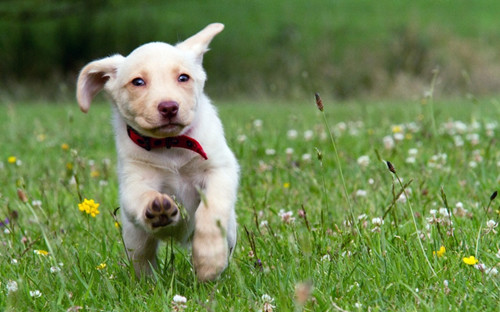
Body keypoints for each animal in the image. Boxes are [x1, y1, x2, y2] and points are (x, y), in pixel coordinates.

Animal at [75, 22, 239, 280]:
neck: (170, 145)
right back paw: (148, 283)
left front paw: (208, 262)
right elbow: (142, 195)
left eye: (183, 77)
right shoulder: (134, 180)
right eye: (138, 82)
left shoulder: (219, 170)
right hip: (135, 237)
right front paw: (158, 207)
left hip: (231, 230)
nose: (169, 107)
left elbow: (211, 211)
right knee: (143, 259)